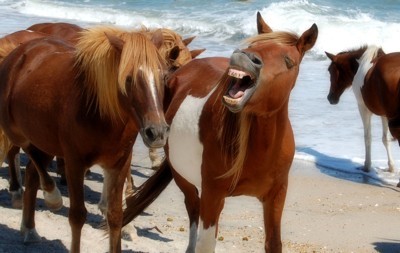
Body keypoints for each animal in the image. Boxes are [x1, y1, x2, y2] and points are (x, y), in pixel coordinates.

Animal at [0, 24, 170, 252]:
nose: (157, 132)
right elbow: (77, 216)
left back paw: (29, 228)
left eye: (163, 77)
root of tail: (19, 52)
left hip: (45, 140)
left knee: (32, 173)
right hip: (16, 130)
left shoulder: (119, 166)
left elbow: (115, 216)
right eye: (128, 78)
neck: (99, 112)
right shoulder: (75, 164)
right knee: (26, 151)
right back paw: (50, 196)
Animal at [122, 12, 318, 253]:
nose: (245, 57)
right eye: (254, 45)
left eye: (289, 61)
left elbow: (274, 243)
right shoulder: (213, 195)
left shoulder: (276, 197)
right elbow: (206, 241)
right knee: (192, 207)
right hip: (182, 177)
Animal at [324, 45, 396, 173]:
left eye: (330, 70)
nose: (330, 98)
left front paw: (367, 165)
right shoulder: (384, 114)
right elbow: (385, 139)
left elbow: (368, 137)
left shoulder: (363, 108)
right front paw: (391, 166)